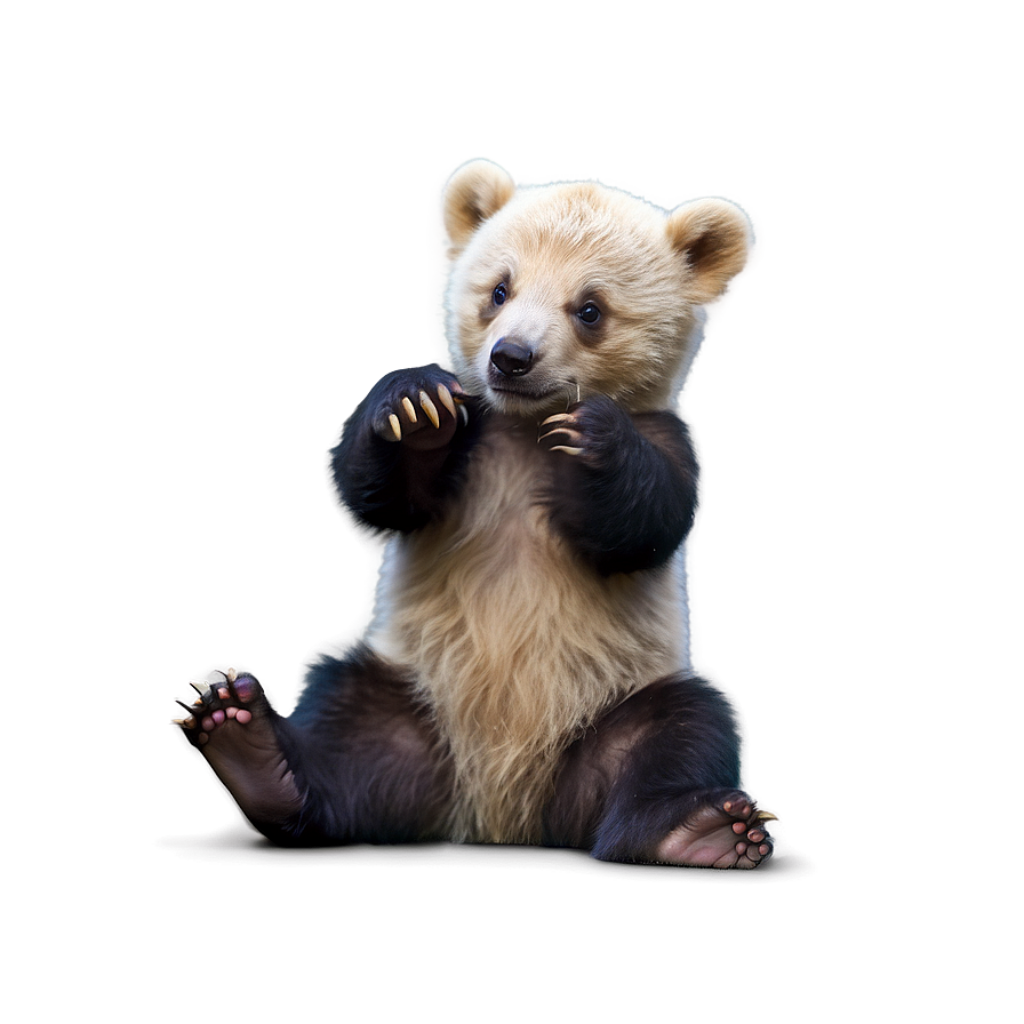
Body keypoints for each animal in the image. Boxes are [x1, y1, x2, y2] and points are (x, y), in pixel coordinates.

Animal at [170, 159, 778, 868]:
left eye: (590, 310)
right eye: (499, 290)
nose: (511, 357)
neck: (523, 426)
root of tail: (497, 815)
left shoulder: (672, 437)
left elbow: (647, 521)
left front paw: (592, 435)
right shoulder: (475, 440)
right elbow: (371, 493)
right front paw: (414, 407)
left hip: (613, 703)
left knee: (684, 724)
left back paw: (702, 832)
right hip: (412, 693)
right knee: (345, 717)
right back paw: (244, 742)